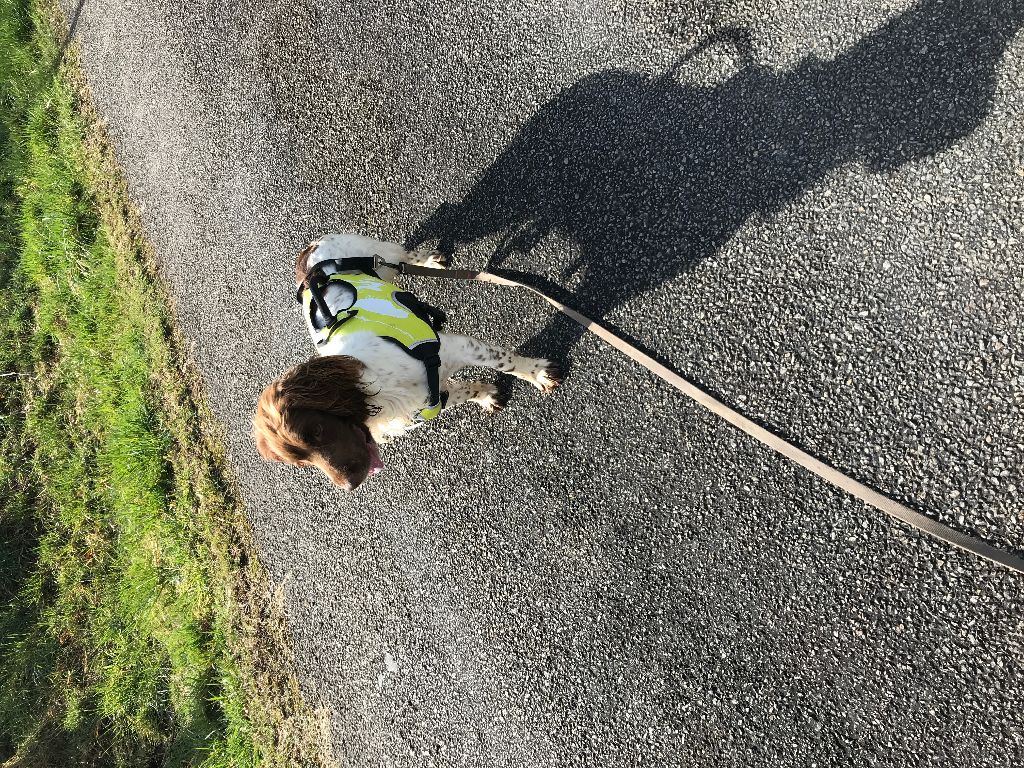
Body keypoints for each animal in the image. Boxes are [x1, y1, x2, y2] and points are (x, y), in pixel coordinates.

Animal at [253, 231, 561, 489]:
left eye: (317, 431)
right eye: (300, 462)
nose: (350, 486)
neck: (376, 387)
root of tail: (307, 261)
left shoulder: (458, 347)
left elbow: (505, 362)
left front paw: (536, 374)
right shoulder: (434, 395)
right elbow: (465, 390)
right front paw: (485, 396)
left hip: (379, 257)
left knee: (403, 257)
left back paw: (430, 260)